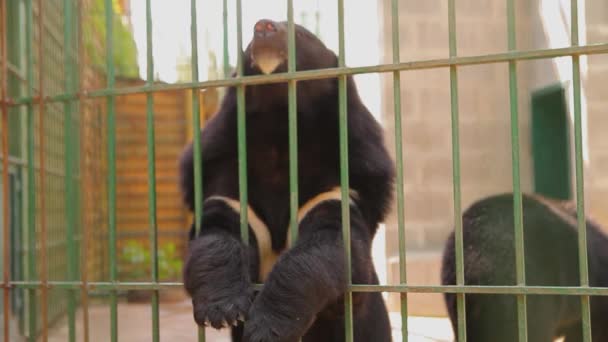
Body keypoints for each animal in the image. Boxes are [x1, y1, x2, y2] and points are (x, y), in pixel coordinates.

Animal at [178, 19, 394, 342]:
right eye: (248, 41)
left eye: (301, 33)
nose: (264, 26)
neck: (280, 130)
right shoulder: (225, 179)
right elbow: (215, 236)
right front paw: (223, 309)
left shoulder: (345, 183)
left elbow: (328, 247)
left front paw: (268, 327)